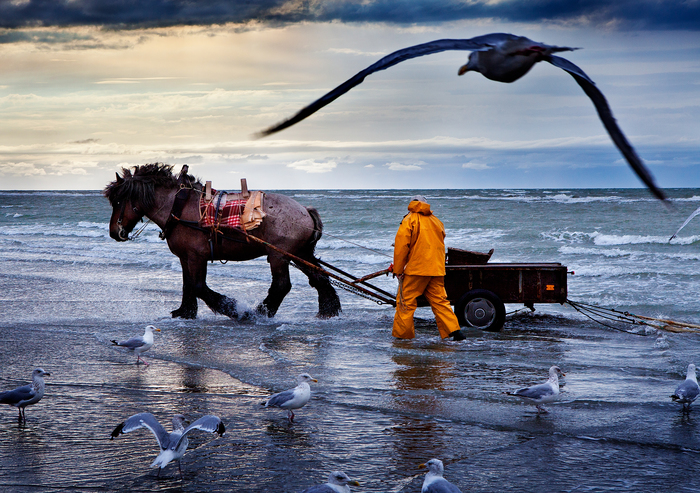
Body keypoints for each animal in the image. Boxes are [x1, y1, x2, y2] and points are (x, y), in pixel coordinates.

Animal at [104, 163, 342, 320]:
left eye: (119, 201)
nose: (115, 232)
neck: (178, 207)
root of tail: (305, 210)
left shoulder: (196, 256)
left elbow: (198, 286)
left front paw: (232, 308)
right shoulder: (185, 257)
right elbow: (187, 285)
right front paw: (185, 312)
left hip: (279, 256)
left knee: (282, 285)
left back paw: (259, 312)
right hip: (300, 253)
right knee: (319, 278)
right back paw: (328, 310)